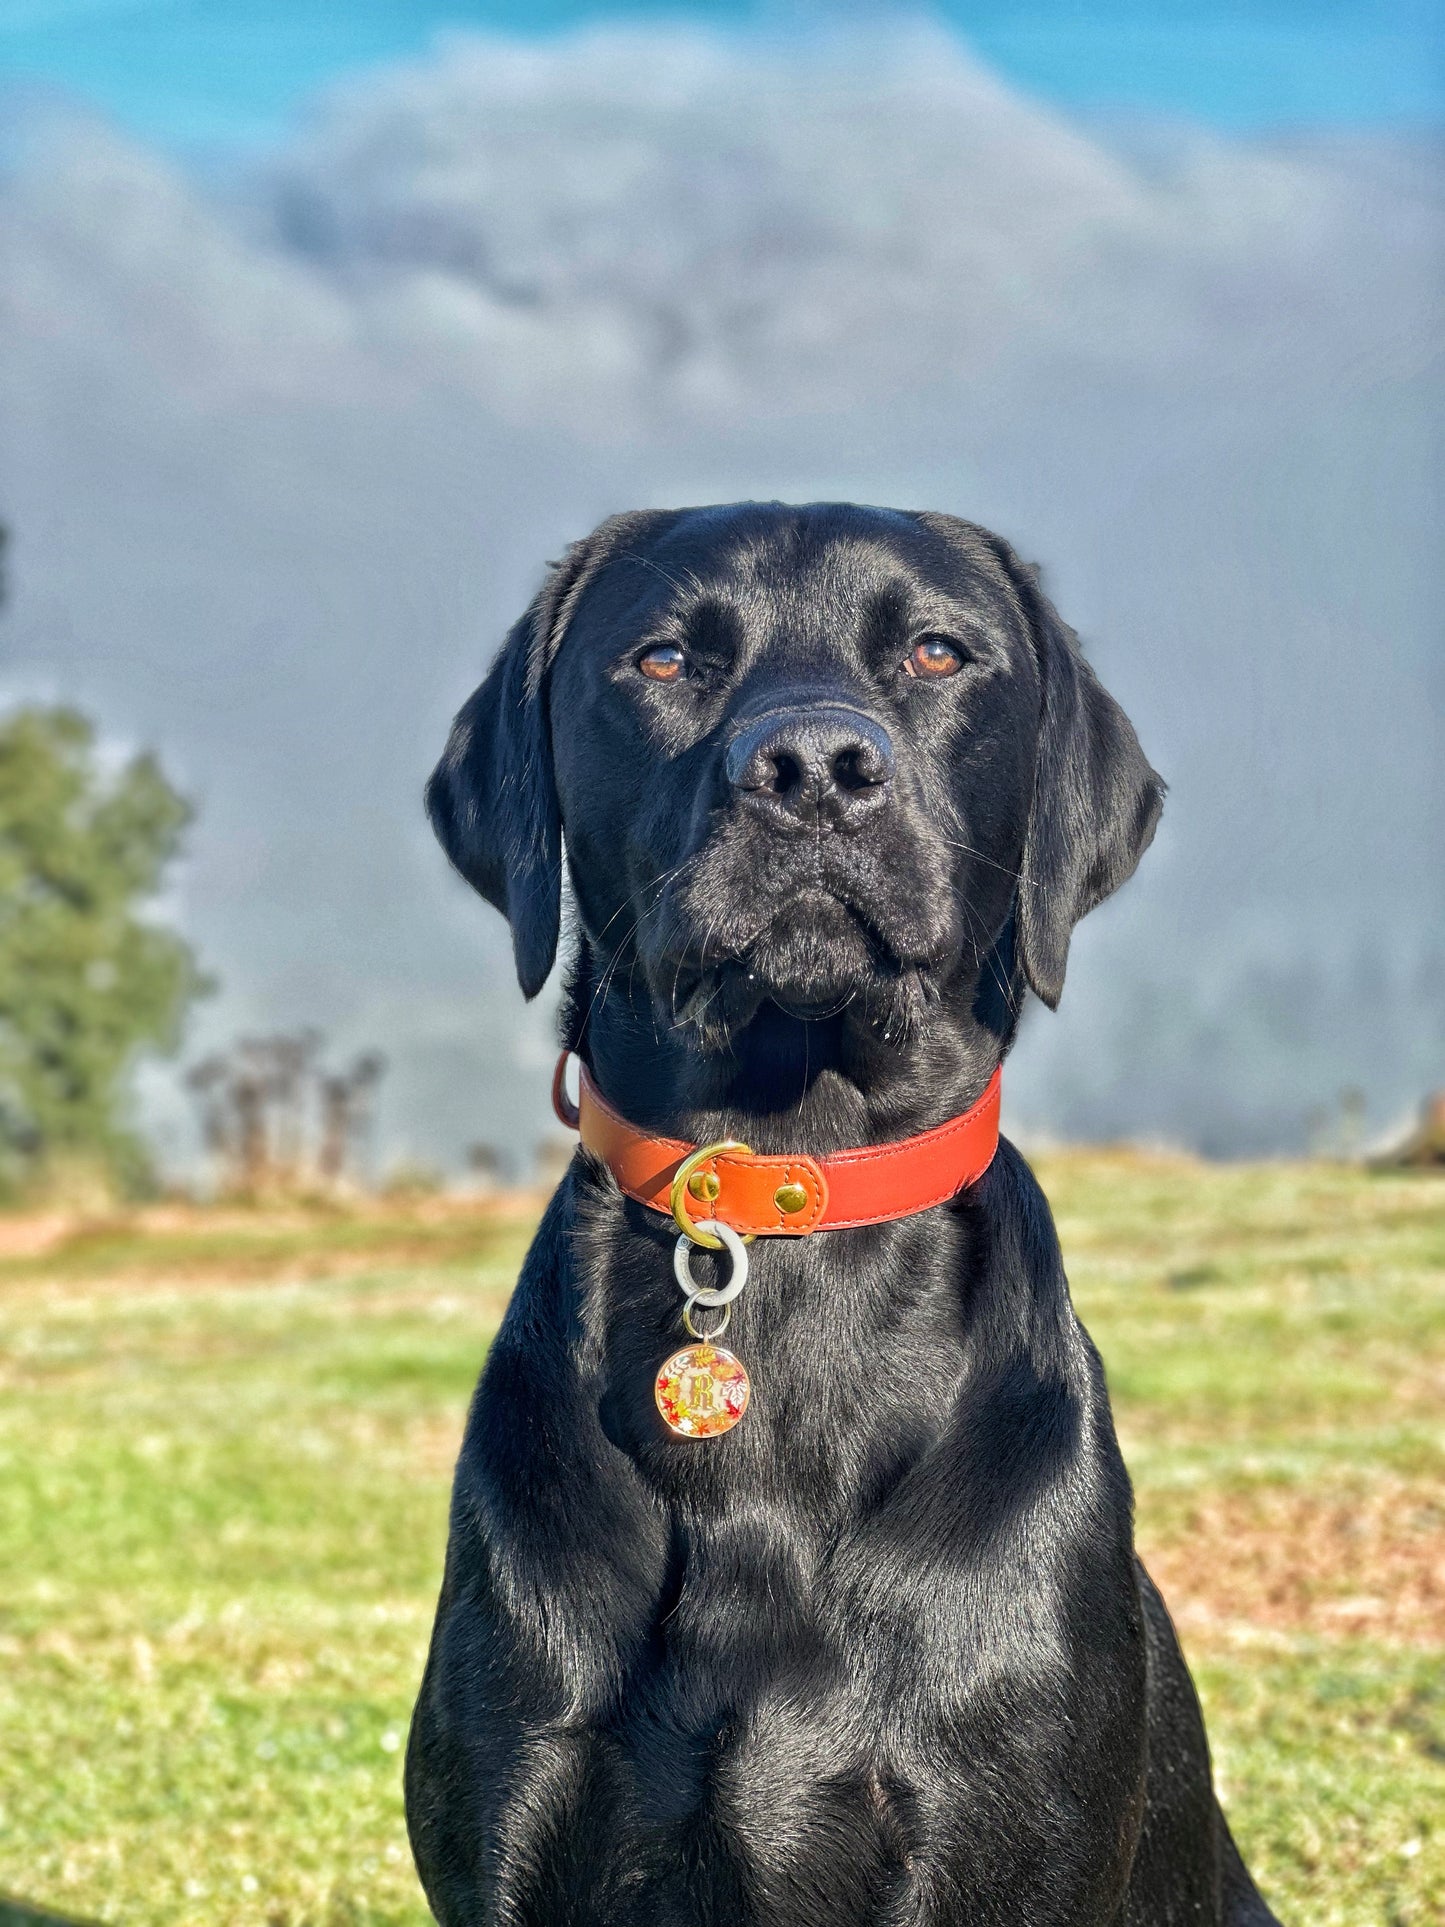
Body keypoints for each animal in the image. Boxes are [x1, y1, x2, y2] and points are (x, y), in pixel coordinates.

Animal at [404, 504, 1279, 1919]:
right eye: (662, 659)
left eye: (935, 652)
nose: (812, 766)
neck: (787, 1183)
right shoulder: (515, 1826)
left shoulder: (993, 1838)